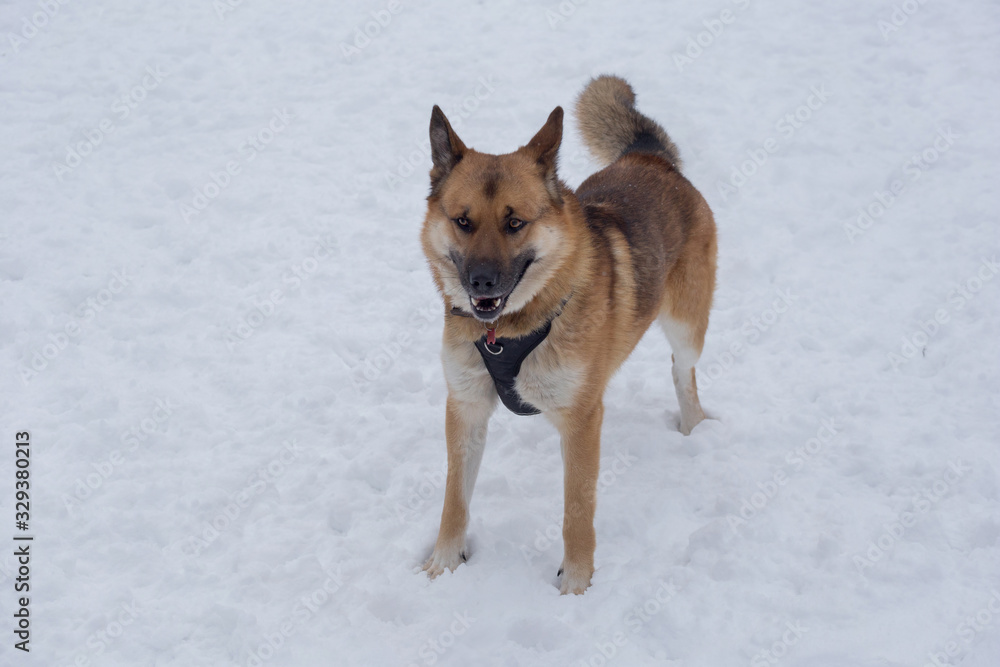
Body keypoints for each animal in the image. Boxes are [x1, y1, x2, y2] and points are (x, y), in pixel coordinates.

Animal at [418, 74, 716, 596]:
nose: (480, 283)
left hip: (686, 328)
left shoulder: (580, 419)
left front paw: (576, 587)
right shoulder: (466, 406)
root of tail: (649, 156)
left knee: (684, 372)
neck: (508, 331)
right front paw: (444, 566)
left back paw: (692, 430)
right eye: (463, 221)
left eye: (515, 223)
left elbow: (576, 513)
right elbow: (455, 500)